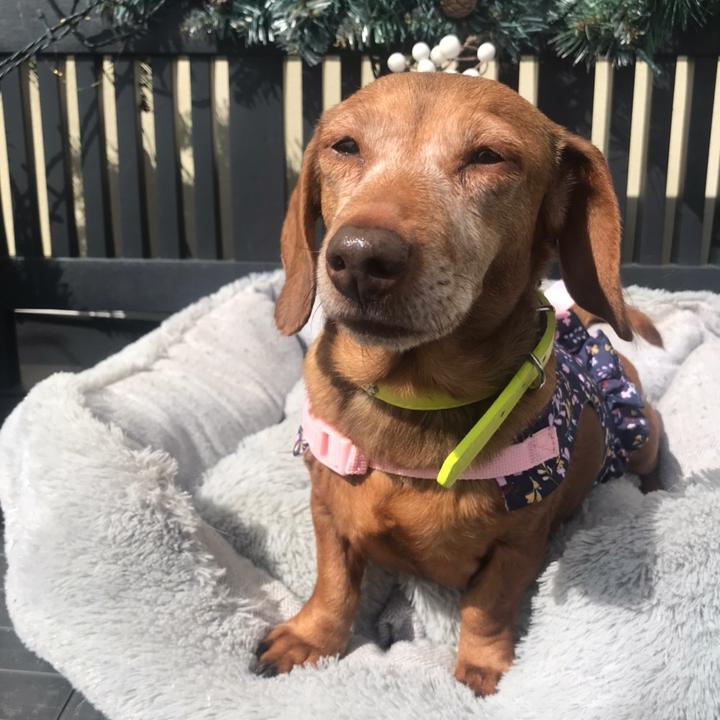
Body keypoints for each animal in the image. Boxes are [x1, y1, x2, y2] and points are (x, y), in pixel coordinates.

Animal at [257, 72, 662, 696]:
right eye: (344, 146)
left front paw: (482, 669)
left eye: (488, 156)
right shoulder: (327, 512)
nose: (359, 259)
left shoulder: (519, 545)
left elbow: (487, 607)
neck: (412, 398)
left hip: (642, 436)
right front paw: (311, 638)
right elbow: (333, 587)